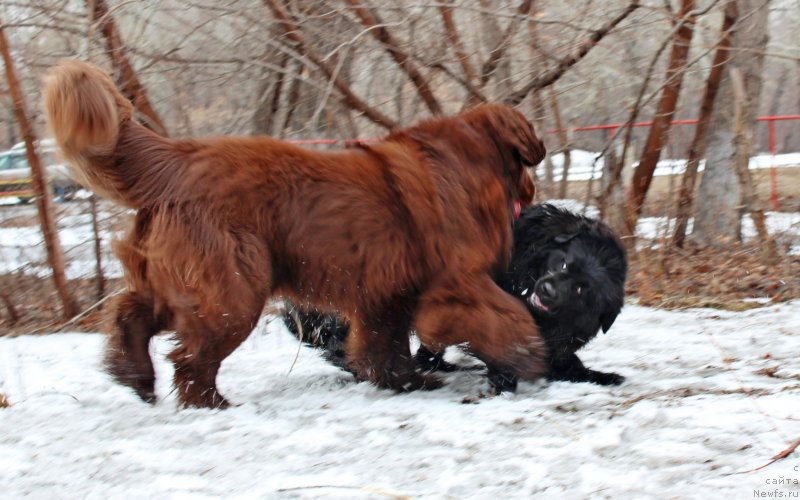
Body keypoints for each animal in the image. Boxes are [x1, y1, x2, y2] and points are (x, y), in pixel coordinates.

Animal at [43, 60, 552, 408]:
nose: (535, 188)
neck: (471, 163)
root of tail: (179, 158)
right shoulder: (456, 282)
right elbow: (505, 314)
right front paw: (529, 354)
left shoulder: (386, 293)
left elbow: (382, 347)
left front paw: (407, 381)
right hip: (234, 290)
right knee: (189, 357)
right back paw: (212, 403)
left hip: (183, 280)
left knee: (130, 312)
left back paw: (133, 375)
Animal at [282, 203, 624, 390]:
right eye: (564, 263)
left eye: (581, 289)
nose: (547, 290)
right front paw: (504, 379)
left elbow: (565, 358)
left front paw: (601, 375)